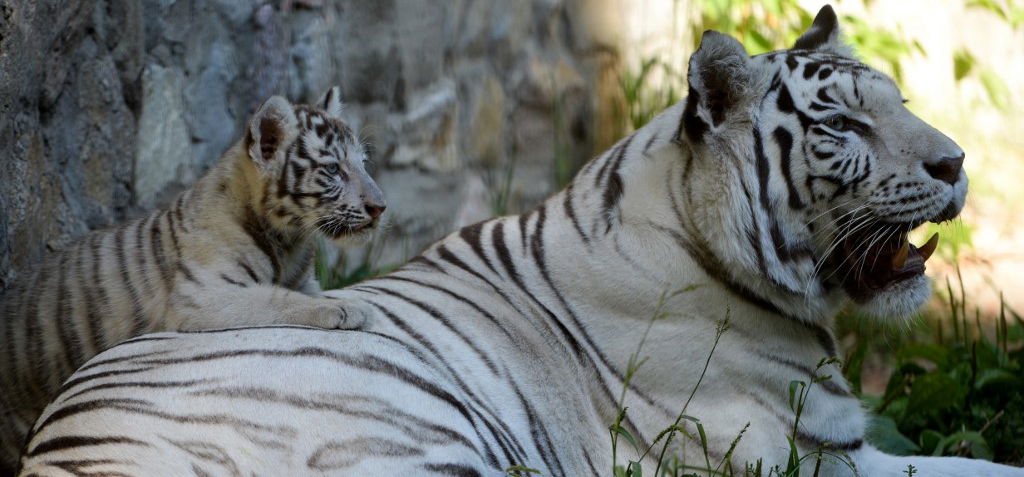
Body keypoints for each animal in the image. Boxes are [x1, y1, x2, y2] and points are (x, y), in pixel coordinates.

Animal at [0, 85, 385, 472]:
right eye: (333, 169)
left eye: (363, 163)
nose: (380, 207)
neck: (288, 240)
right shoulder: (203, 297)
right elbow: (277, 299)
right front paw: (348, 310)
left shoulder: (302, 282)